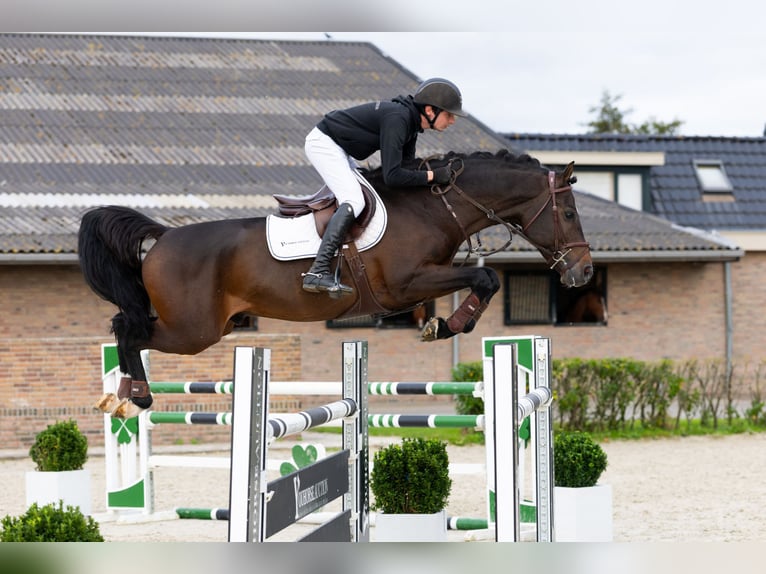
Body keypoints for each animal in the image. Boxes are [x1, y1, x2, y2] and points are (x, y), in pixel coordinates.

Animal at [78, 150, 593, 418]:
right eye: (569, 213)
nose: (584, 272)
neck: (431, 207)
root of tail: (163, 236)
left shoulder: (418, 285)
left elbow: (480, 281)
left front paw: (443, 325)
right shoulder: (407, 283)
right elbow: (485, 276)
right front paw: (448, 326)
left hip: (213, 327)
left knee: (128, 327)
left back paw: (126, 394)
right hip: (193, 330)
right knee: (128, 329)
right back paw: (133, 395)